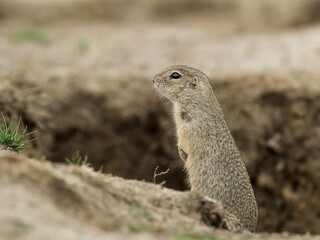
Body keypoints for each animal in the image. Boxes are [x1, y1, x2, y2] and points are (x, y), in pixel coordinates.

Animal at [152, 64, 258, 232]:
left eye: (175, 75)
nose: (153, 79)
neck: (195, 101)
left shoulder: (190, 129)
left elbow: (184, 141)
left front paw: (183, 154)